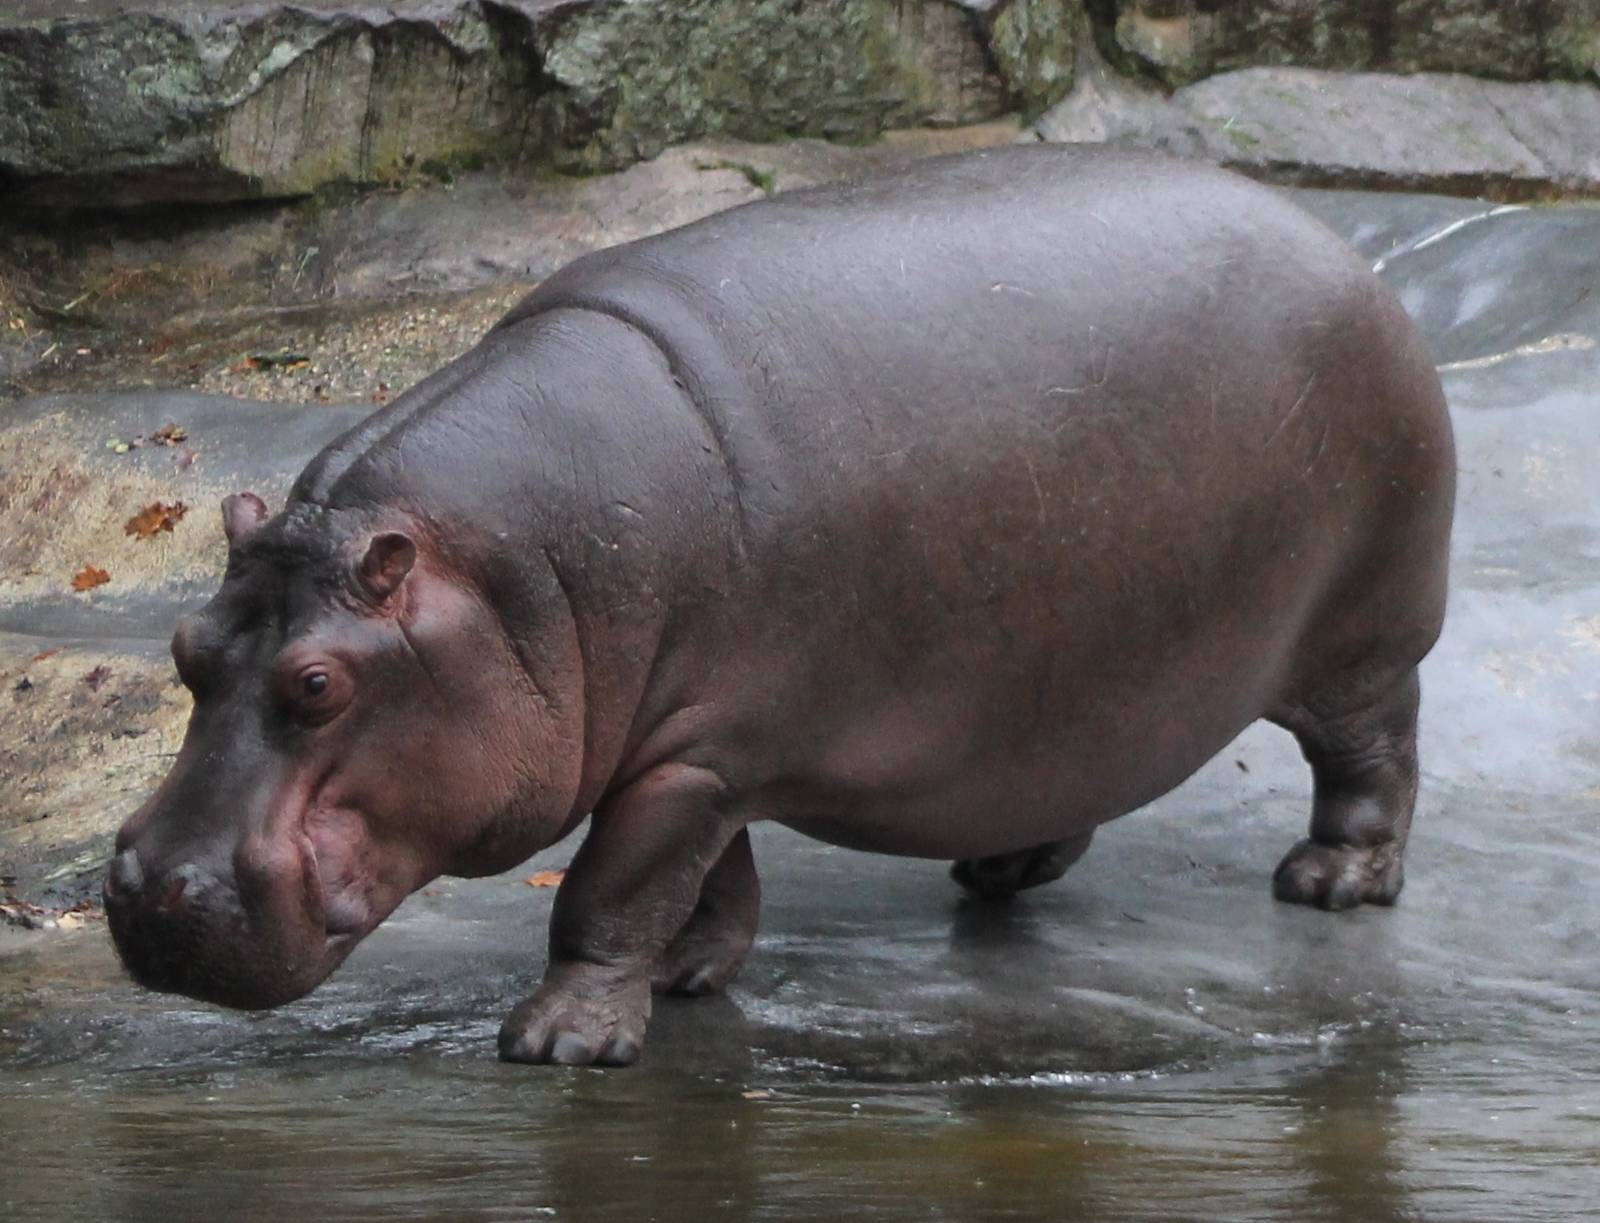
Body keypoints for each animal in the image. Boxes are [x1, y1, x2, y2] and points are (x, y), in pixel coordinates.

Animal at [104, 145, 1454, 1066]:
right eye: (183, 647)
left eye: (318, 683)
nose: (146, 887)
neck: (500, 579)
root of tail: (1342, 248)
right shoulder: (698, 746)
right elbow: (707, 876)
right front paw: (691, 973)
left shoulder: (693, 752)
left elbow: (612, 888)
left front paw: (560, 1040)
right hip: (1078, 674)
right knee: (1080, 763)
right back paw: (1003, 865)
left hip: (1361, 631)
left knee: (1376, 745)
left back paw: (1333, 878)